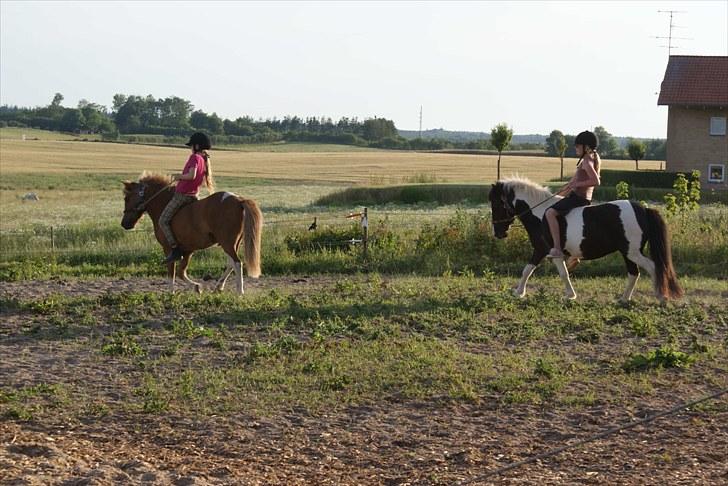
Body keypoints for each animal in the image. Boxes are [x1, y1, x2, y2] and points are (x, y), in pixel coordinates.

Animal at [121, 172, 262, 292]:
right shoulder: (188, 250)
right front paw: (196, 287)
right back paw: (219, 286)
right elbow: (180, 272)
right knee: (231, 263)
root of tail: (239, 200)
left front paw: (171, 293)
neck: (163, 203)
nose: (124, 224)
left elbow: (172, 271)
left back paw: (239, 292)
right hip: (232, 243)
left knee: (237, 263)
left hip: (227, 242)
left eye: (127, 198)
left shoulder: (168, 249)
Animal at [490, 177, 684, 302]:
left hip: (632, 252)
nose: (498, 233)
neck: (539, 214)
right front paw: (519, 292)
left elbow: (552, 272)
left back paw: (661, 297)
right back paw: (624, 299)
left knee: (652, 267)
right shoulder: (543, 251)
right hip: (627, 252)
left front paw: (569, 295)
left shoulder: (545, 250)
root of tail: (643, 209)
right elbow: (529, 270)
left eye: (496, 204)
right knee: (634, 273)